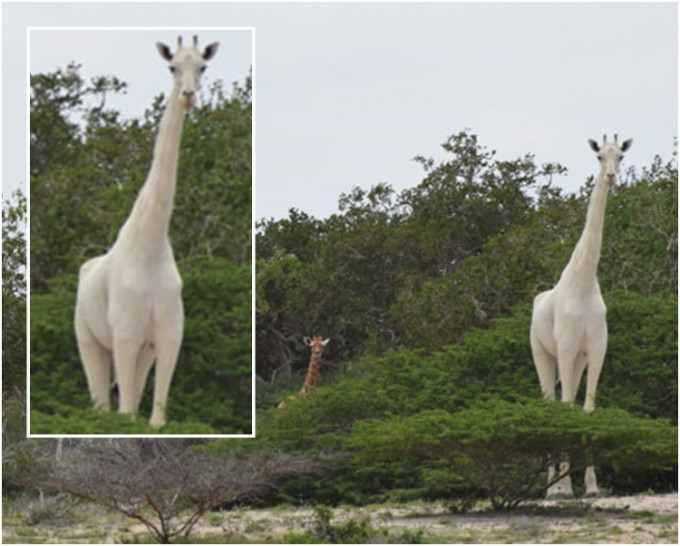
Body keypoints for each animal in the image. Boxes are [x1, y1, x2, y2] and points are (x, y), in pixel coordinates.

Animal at [74, 36, 219, 428]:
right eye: (172, 67)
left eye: (202, 66)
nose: (187, 95)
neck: (150, 248)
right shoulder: (124, 335)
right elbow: (124, 413)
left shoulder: (168, 336)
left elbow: (154, 418)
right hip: (89, 338)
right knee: (101, 403)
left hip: (141, 350)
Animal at [532, 134, 632, 496]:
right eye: (599, 156)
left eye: (621, 156)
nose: (611, 177)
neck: (584, 282)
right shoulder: (564, 347)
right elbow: (563, 409)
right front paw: (562, 487)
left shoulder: (596, 348)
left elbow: (586, 409)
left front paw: (591, 485)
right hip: (543, 353)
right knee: (550, 403)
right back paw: (552, 486)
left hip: (577, 360)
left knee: (569, 400)